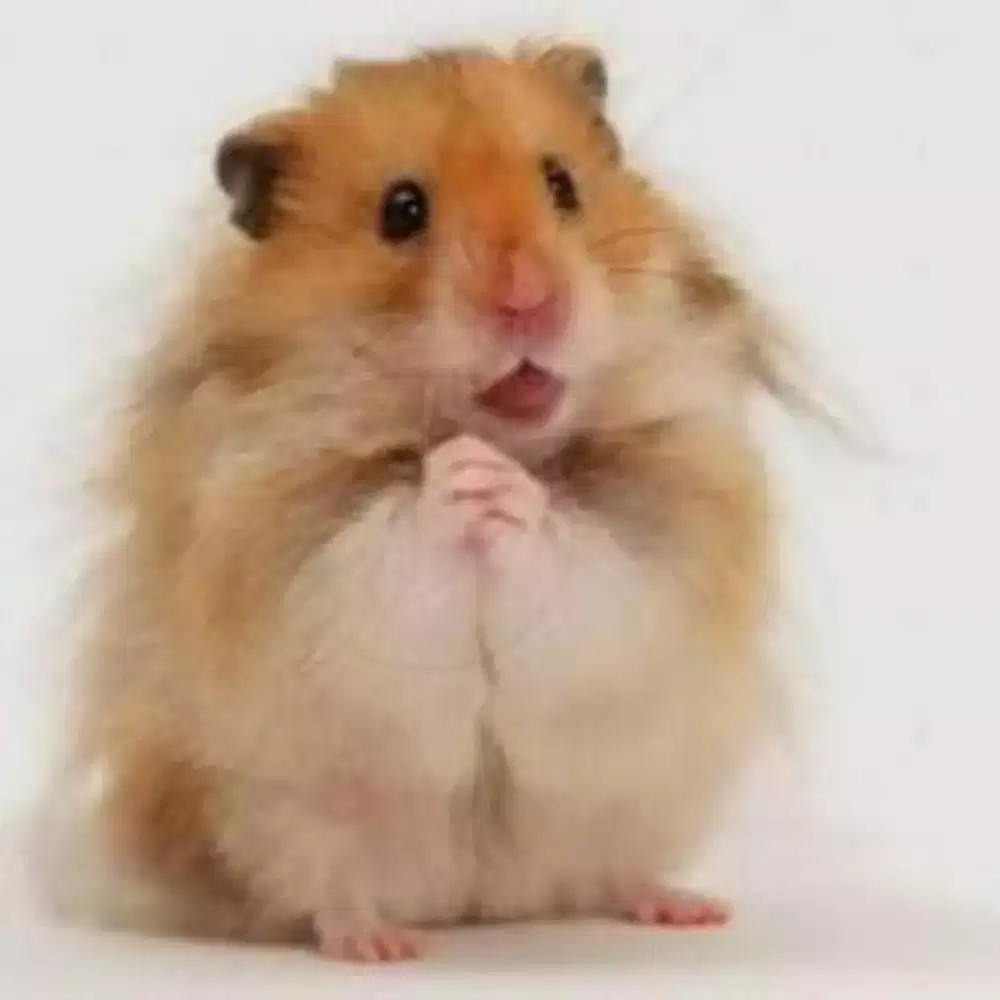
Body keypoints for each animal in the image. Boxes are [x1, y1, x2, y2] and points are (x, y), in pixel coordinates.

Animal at [44, 41, 809, 961]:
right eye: (401, 211)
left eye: (562, 184)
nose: (530, 302)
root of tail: (479, 904)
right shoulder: (300, 555)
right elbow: (393, 546)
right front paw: (460, 474)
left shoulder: (663, 542)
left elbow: (585, 562)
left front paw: (502, 485)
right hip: (273, 820)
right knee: (322, 890)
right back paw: (378, 944)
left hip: (639, 797)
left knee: (609, 872)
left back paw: (684, 907)